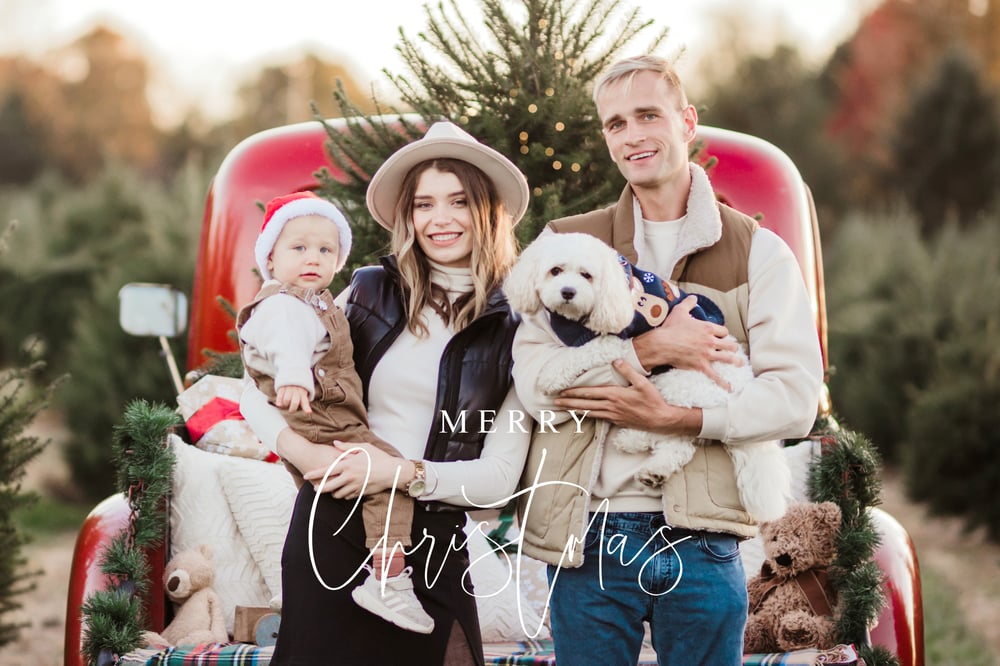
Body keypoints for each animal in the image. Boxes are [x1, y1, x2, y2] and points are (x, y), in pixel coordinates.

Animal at [508, 231, 788, 520]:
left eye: (587, 275)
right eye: (555, 270)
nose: (568, 292)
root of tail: (741, 388)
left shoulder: (613, 342)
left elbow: (578, 354)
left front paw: (552, 375)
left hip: (678, 382)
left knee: (672, 429)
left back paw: (633, 441)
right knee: (680, 443)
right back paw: (654, 470)